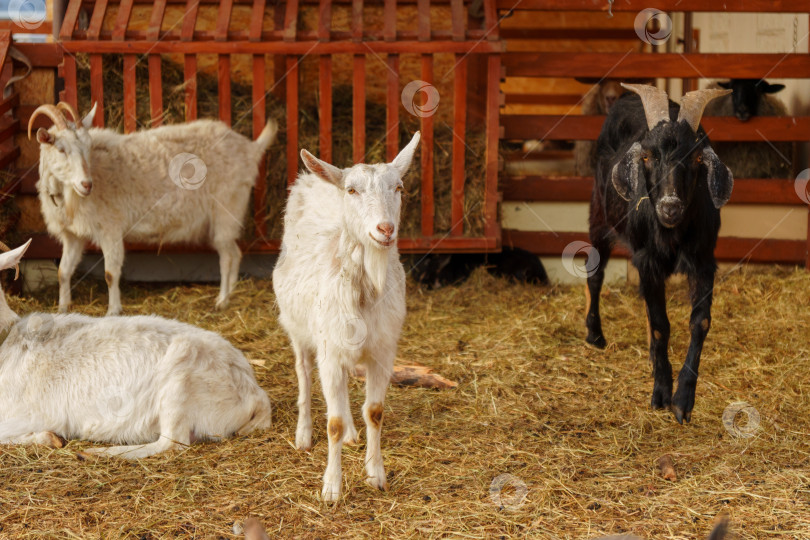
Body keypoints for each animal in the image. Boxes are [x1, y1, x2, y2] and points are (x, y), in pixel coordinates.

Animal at [29, 103, 278, 314]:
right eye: (61, 149)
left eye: (88, 147)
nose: (86, 184)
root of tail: (251, 149)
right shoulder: (72, 235)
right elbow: (63, 272)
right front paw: (62, 308)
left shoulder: (110, 228)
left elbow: (110, 274)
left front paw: (113, 311)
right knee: (235, 253)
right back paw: (230, 295)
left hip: (227, 208)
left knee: (228, 255)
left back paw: (222, 300)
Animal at [274, 131, 420, 502]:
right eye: (352, 190)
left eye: (399, 187)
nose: (386, 228)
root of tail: (316, 177)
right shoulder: (330, 352)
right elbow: (333, 423)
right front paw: (331, 488)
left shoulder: (383, 351)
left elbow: (375, 412)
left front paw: (376, 475)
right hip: (298, 328)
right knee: (304, 372)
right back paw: (303, 434)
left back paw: (354, 433)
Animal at [588, 82, 732, 424]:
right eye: (647, 155)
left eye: (697, 158)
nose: (670, 206)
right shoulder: (647, 260)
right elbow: (659, 324)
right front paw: (661, 393)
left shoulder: (704, 261)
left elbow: (699, 322)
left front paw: (682, 400)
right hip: (599, 215)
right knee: (595, 273)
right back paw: (595, 335)